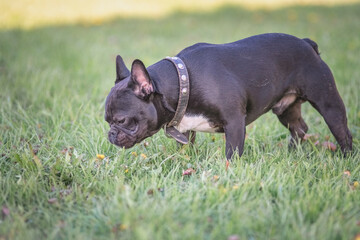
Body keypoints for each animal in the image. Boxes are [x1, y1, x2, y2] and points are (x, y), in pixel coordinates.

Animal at [104, 32, 352, 159]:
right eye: (107, 121)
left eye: (122, 121)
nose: (110, 134)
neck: (182, 80)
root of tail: (307, 44)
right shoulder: (186, 129)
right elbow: (186, 148)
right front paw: (185, 164)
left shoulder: (234, 122)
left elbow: (231, 153)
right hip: (285, 108)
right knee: (299, 127)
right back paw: (292, 152)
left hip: (327, 101)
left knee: (342, 131)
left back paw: (347, 158)